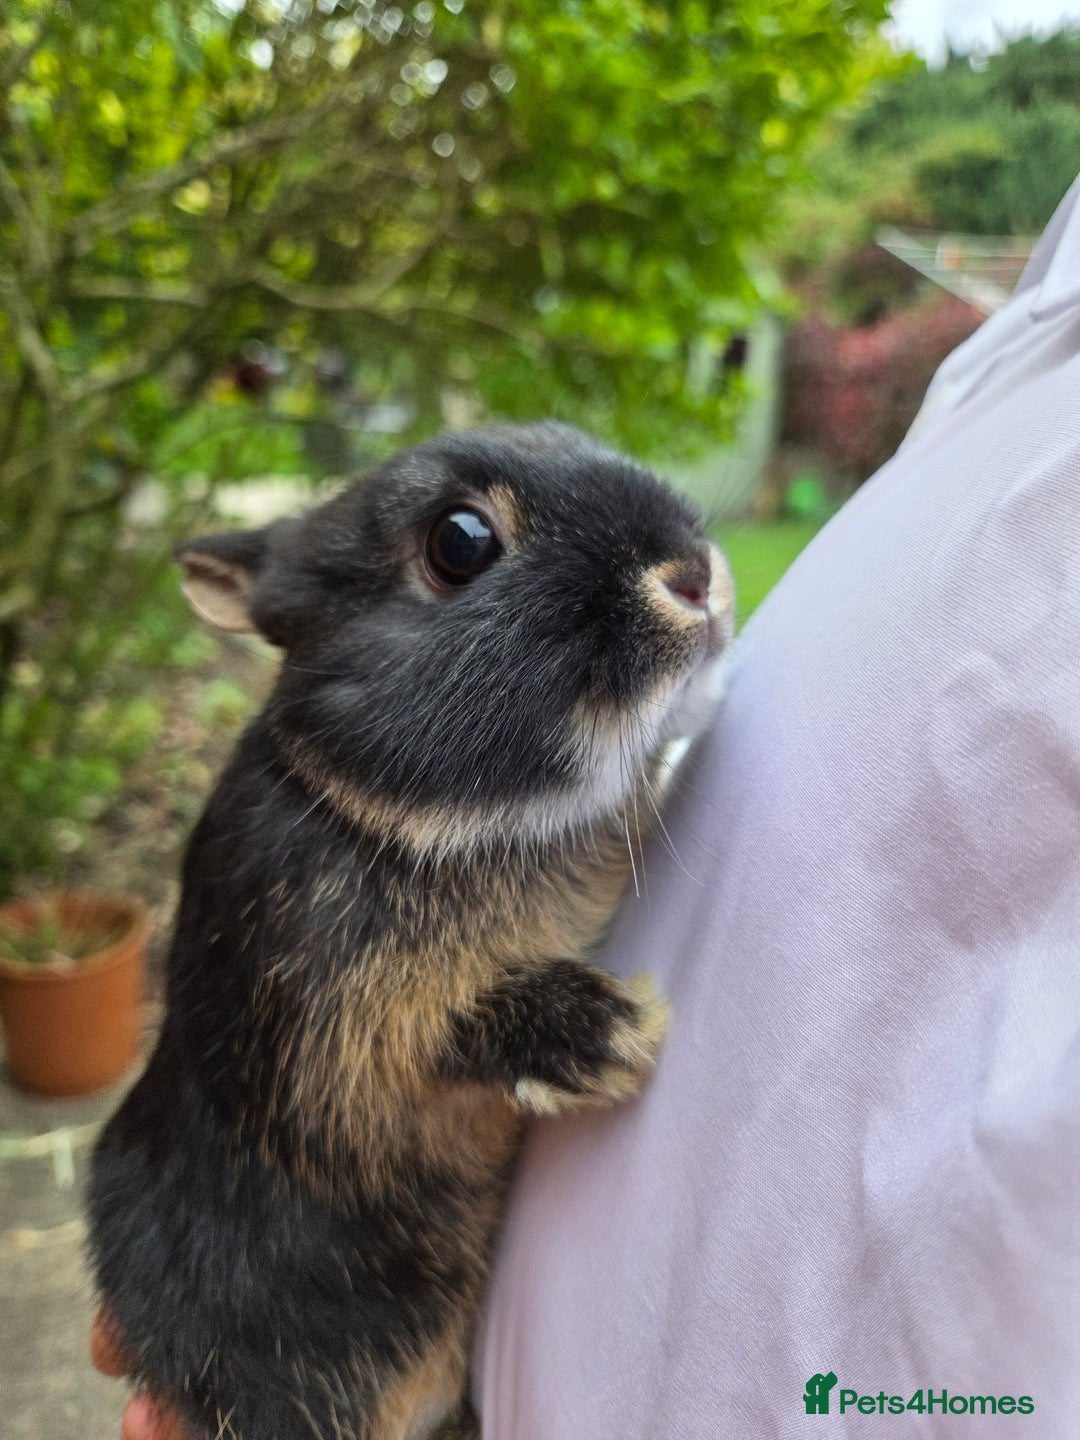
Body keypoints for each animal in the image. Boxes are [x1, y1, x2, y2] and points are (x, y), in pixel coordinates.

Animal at [88, 421, 735, 1440]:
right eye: (459, 543)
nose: (692, 574)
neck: (389, 809)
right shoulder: (335, 1039)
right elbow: (427, 1038)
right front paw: (610, 1035)